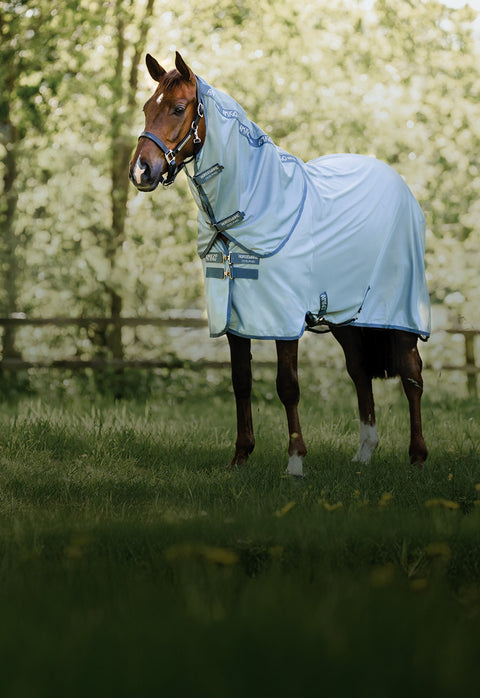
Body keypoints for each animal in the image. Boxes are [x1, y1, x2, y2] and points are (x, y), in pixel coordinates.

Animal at [129, 52, 430, 477]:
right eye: (146, 108)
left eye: (177, 108)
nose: (141, 171)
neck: (258, 203)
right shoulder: (234, 315)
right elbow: (241, 380)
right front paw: (240, 456)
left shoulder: (283, 316)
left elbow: (287, 385)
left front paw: (295, 461)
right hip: (346, 316)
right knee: (359, 371)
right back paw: (364, 453)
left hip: (399, 311)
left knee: (411, 373)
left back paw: (417, 456)